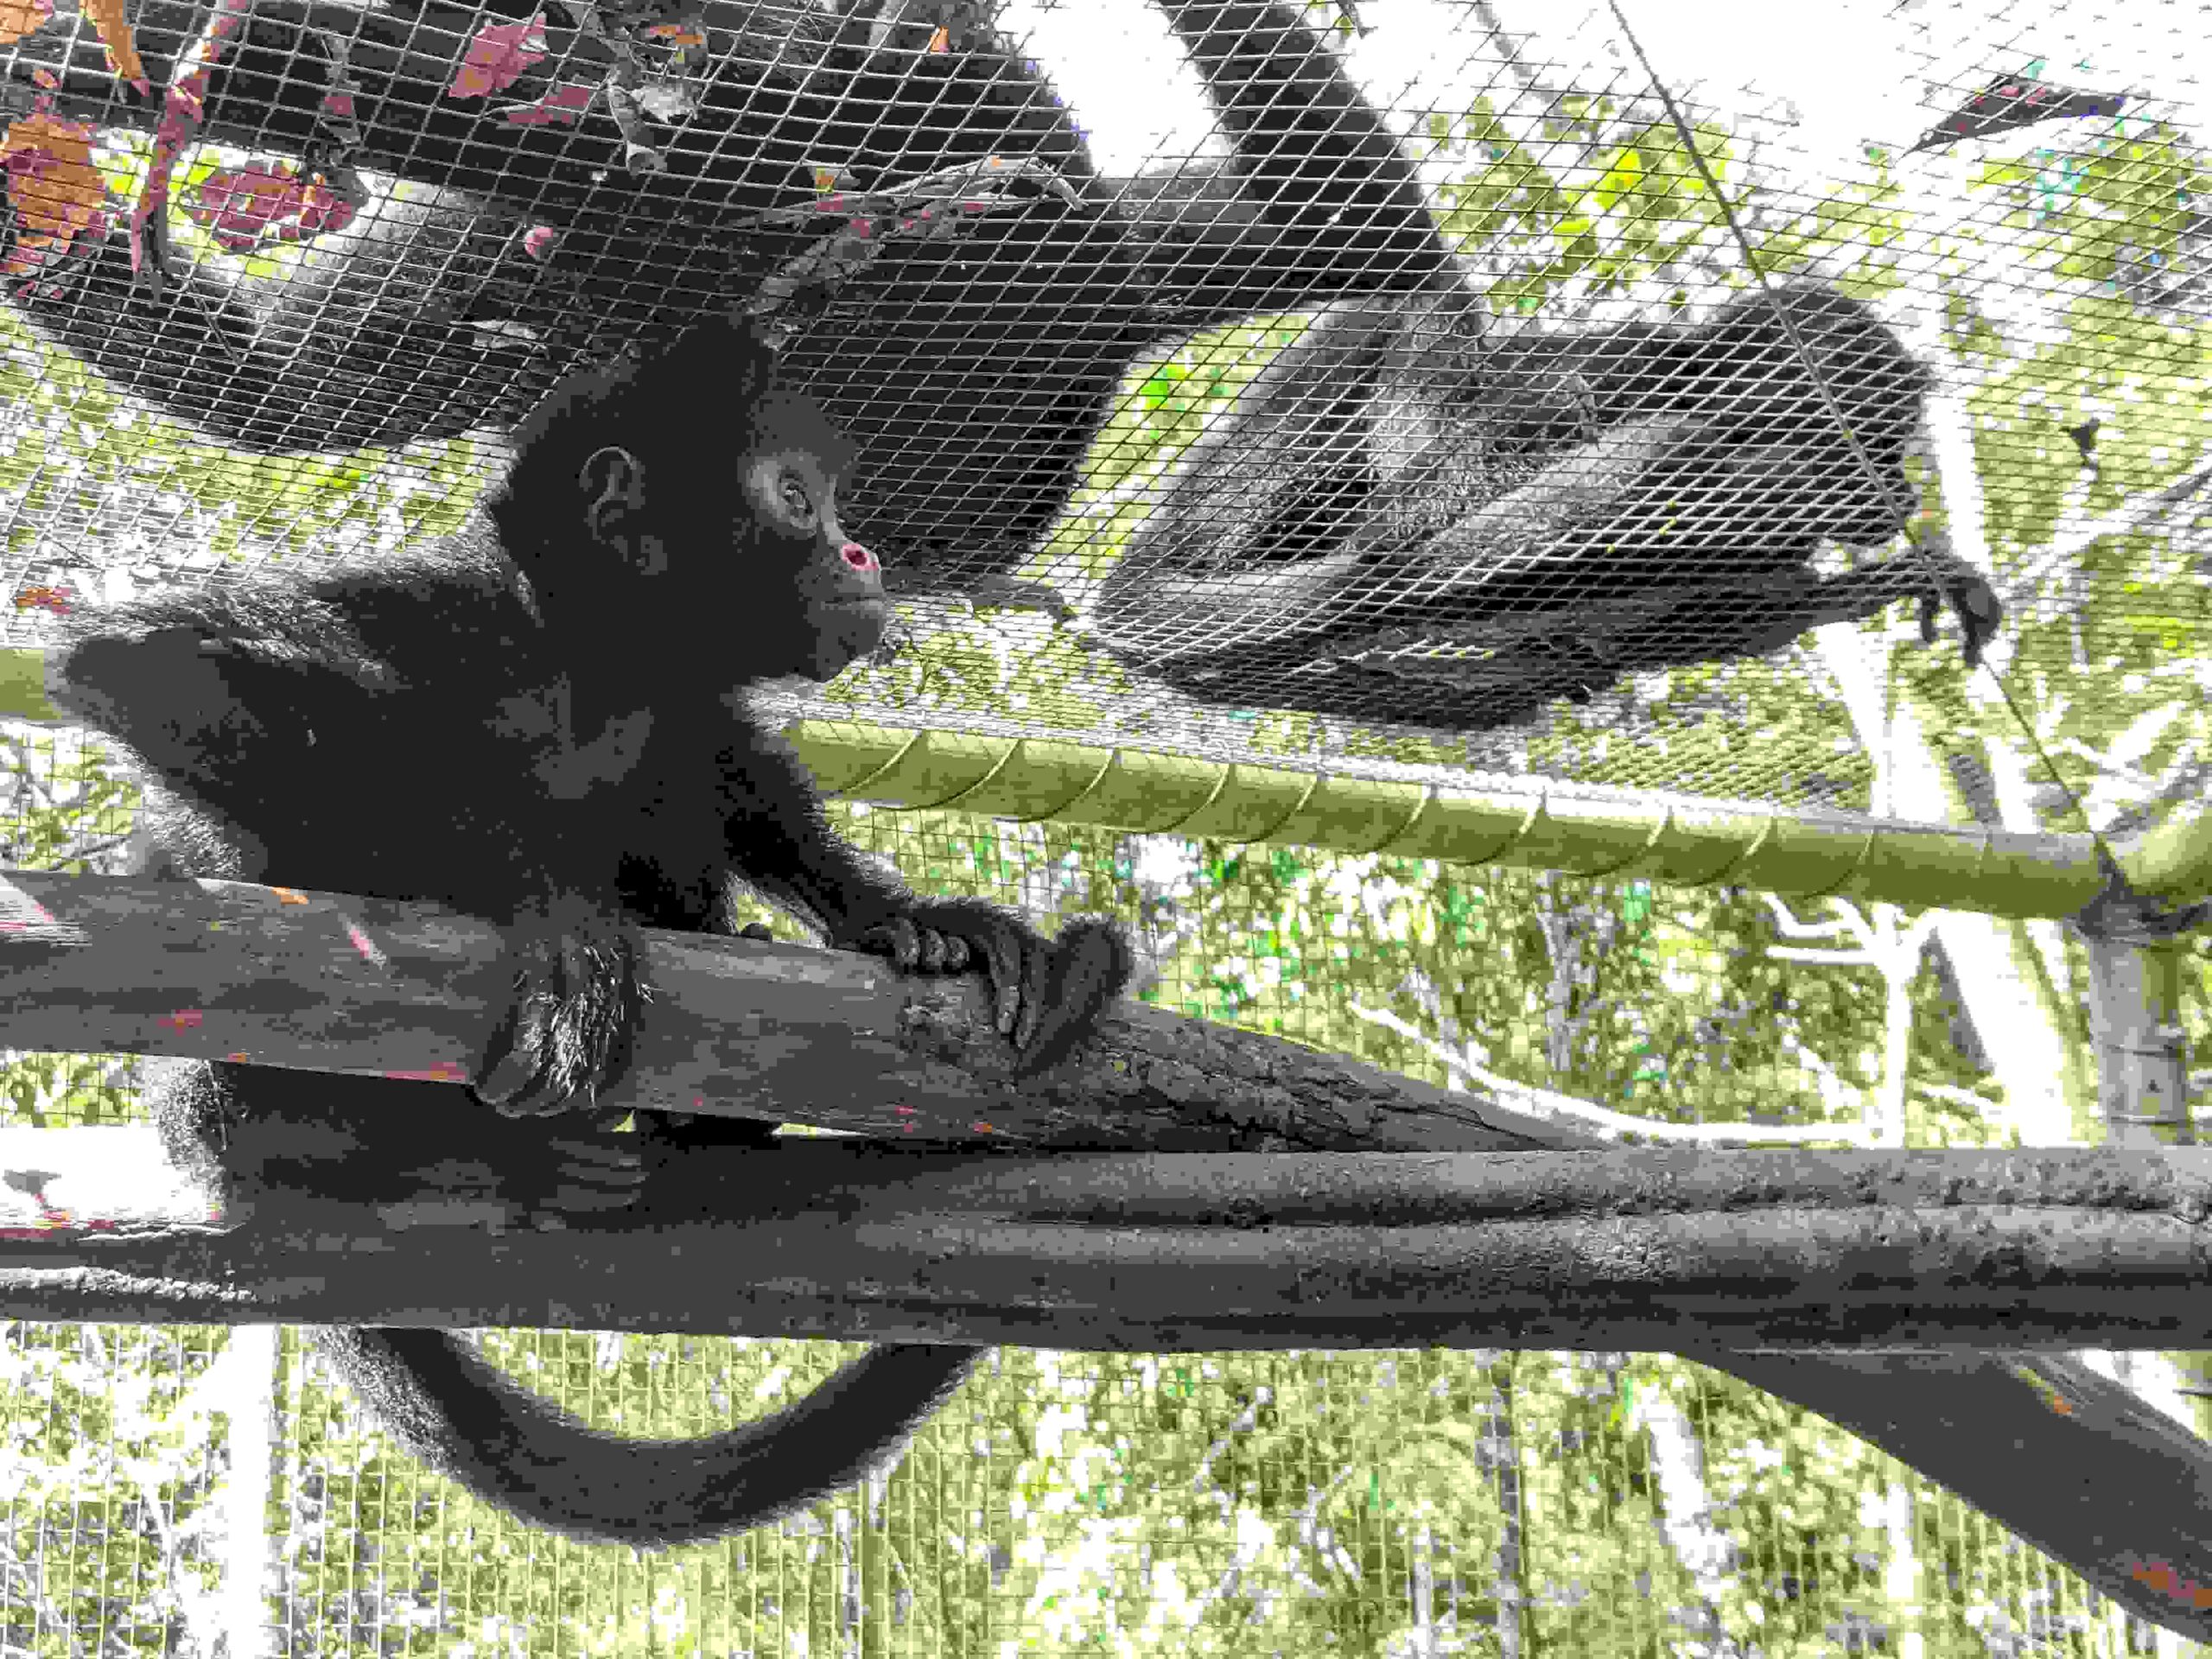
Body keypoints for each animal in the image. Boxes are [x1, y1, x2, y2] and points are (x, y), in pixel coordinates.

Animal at [45, 315, 1135, 1546]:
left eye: (830, 507)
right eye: (796, 498)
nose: (862, 556)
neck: (592, 667)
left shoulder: (679, 699)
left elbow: (737, 781)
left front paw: (911, 922)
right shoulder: (440, 609)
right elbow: (136, 664)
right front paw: (544, 913)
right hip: (217, 1104)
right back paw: (458, 1159)